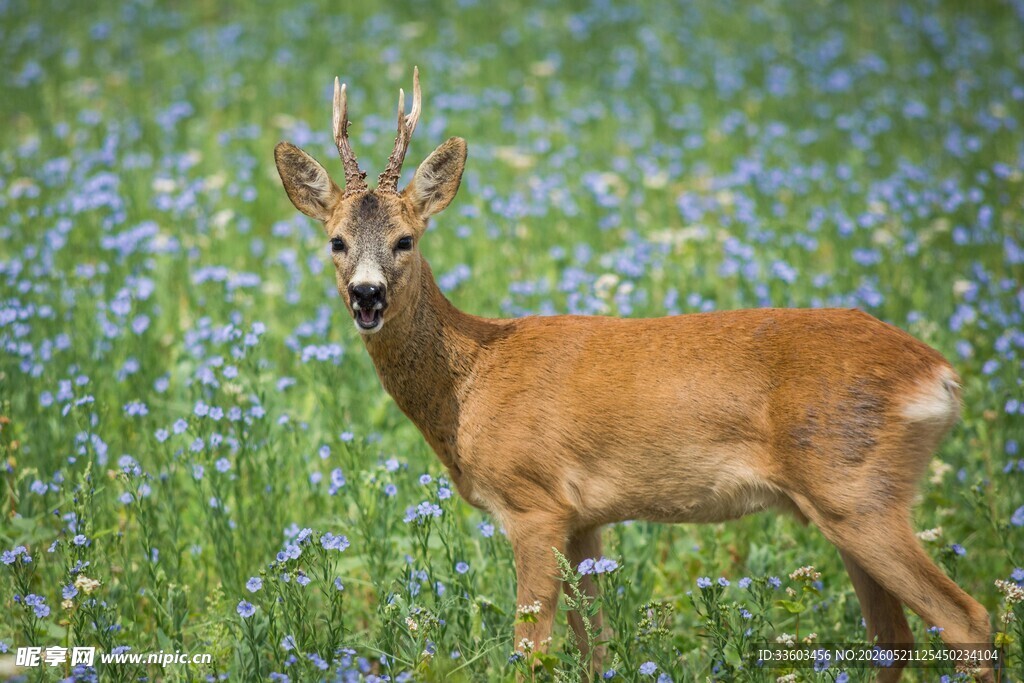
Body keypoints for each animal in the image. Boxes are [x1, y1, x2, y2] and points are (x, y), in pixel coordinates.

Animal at [273, 68, 993, 681]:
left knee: (967, 620)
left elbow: (529, 652)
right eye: (336, 240)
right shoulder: (585, 517)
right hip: (848, 504)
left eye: (406, 239)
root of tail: (940, 375)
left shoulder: (533, 502)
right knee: (892, 637)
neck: (471, 381)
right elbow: (598, 647)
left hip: (857, 491)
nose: (367, 295)